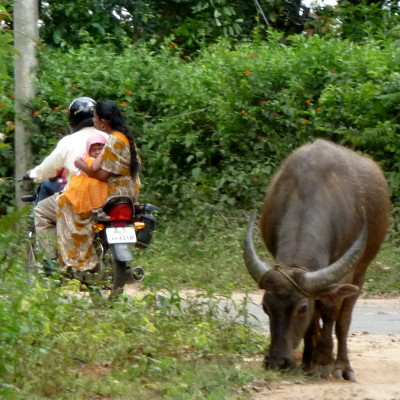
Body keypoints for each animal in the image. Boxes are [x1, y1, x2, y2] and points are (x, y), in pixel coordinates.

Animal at [244, 139, 390, 380]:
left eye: (302, 308)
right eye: (265, 306)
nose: (277, 361)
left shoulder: (343, 275)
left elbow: (332, 311)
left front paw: (324, 358)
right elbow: (315, 318)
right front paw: (309, 361)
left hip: (360, 272)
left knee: (343, 319)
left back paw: (341, 365)